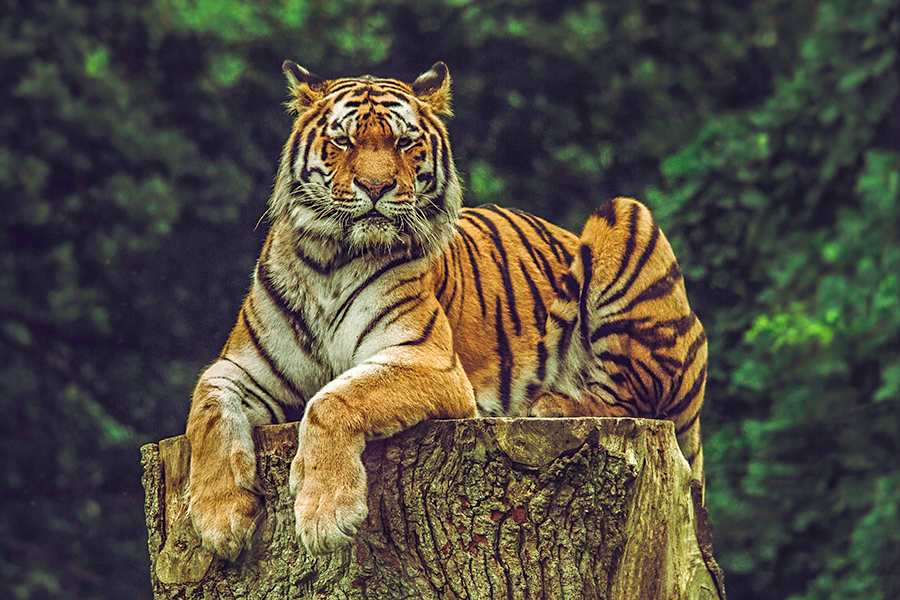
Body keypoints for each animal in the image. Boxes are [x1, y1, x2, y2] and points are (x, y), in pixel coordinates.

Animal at [185, 61, 708, 560]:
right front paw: (218, 519)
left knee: (635, 398)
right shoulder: (240, 368)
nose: (375, 186)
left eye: (404, 142)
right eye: (343, 140)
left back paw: (551, 403)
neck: (329, 261)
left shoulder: (428, 359)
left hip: (627, 217)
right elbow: (207, 414)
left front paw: (325, 514)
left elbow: (332, 400)